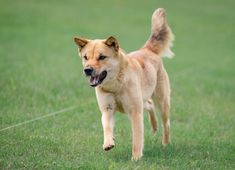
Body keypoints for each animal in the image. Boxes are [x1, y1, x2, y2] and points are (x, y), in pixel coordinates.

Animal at [74, 7, 174, 160]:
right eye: (85, 57)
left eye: (102, 57)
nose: (87, 70)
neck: (116, 85)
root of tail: (147, 50)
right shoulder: (107, 109)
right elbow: (107, 128)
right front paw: (108, 143)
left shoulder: (135, 112)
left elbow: (137, 138)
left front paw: (136, 158)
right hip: (143, 100)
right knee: (149, 105)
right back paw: (154, 126)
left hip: (161, 101)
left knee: (166, 123)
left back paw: (165, 144)